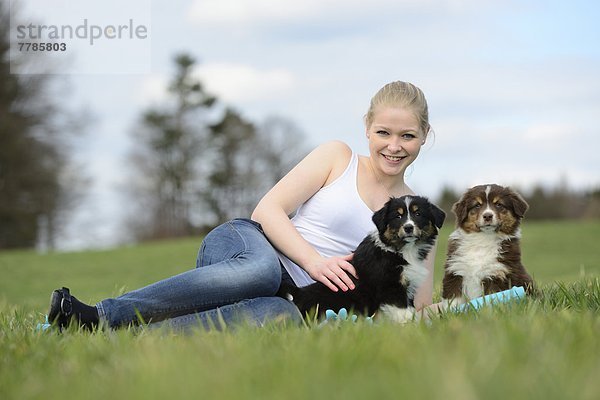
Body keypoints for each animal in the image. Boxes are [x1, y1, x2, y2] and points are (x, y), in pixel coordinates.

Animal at [278, 195, 446, 324]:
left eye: (418, 214)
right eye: (398, 216)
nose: (408, 227)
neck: (401, 250)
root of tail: (299, 293)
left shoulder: (408, 286)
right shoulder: (391, 286)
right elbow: (403, 310)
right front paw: (411, 326)